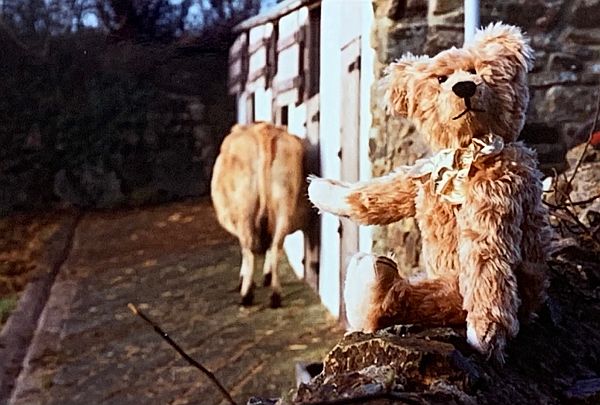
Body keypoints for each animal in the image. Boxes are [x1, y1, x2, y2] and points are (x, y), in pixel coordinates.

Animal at [211, 121, 312, 308]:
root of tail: (263, 130)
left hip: (245, 209)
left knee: (249, 250)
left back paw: (246, 294)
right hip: (283, 204)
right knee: (275, 246)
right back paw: (275, 295)